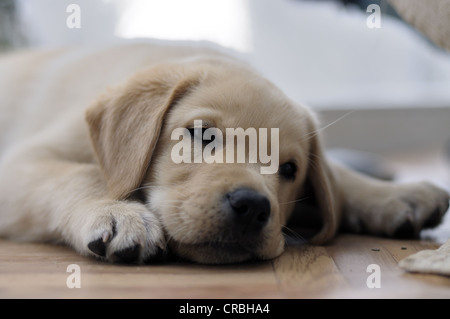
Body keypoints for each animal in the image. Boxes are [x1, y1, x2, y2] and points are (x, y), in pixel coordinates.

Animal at [0, 44, 448, 264]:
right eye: (202, 135)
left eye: (290, 169)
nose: (252, 207)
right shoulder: (22, 161)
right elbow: (81, 174)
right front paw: (116, 212)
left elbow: (335, 177)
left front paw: (393, 195)